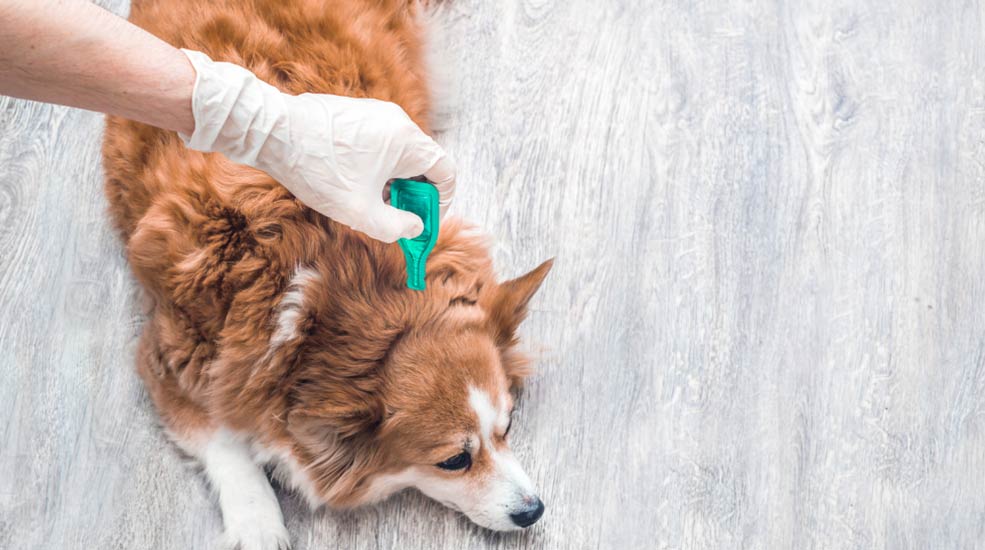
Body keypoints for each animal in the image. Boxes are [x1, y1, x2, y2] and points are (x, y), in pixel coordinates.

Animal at [104, 0, 556, 548]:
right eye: (454, 461)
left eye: (506, 428)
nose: (533, 510)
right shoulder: (168, 356)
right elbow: (224, 443)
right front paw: (258, 523)